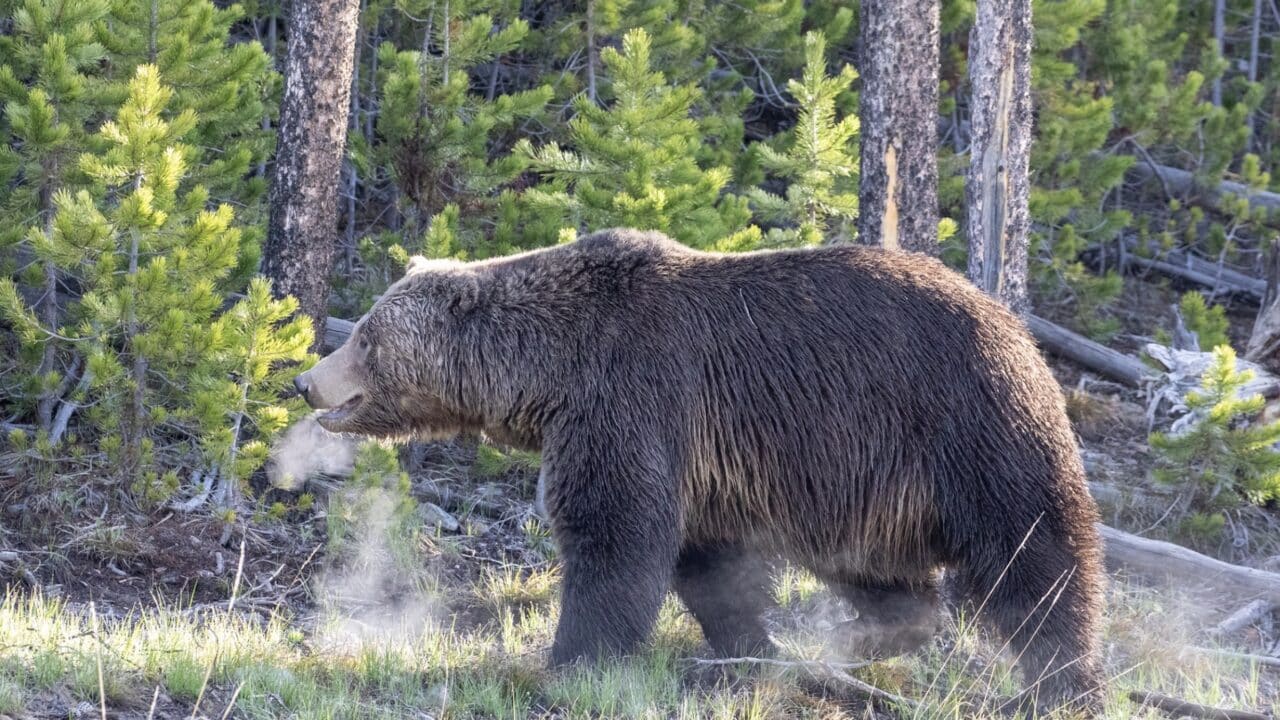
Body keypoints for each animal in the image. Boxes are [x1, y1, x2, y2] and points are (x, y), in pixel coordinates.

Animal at [292, 228, 1105, 712]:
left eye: (365, 338)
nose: (307, 381)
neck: (547, 375)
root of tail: (1020, 329)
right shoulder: (701, 461)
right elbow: (706, 562)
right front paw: (752, 651)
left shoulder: (631, 395)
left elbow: (616, 536)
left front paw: (572, 662)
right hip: (866, 489)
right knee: (881, 572)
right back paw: (872, 635)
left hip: (967, 429)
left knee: (1034, 561)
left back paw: (1063, 683)